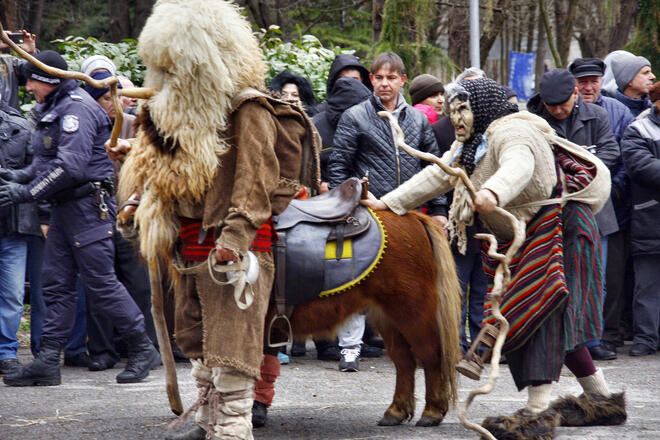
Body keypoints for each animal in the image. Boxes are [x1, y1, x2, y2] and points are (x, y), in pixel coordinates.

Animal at [266, 210, 462, 426]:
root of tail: (412, 216)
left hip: (412, 312)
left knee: (430, 355)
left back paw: (431, 412)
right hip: (388, 317)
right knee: (404, 361)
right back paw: (396, 411)